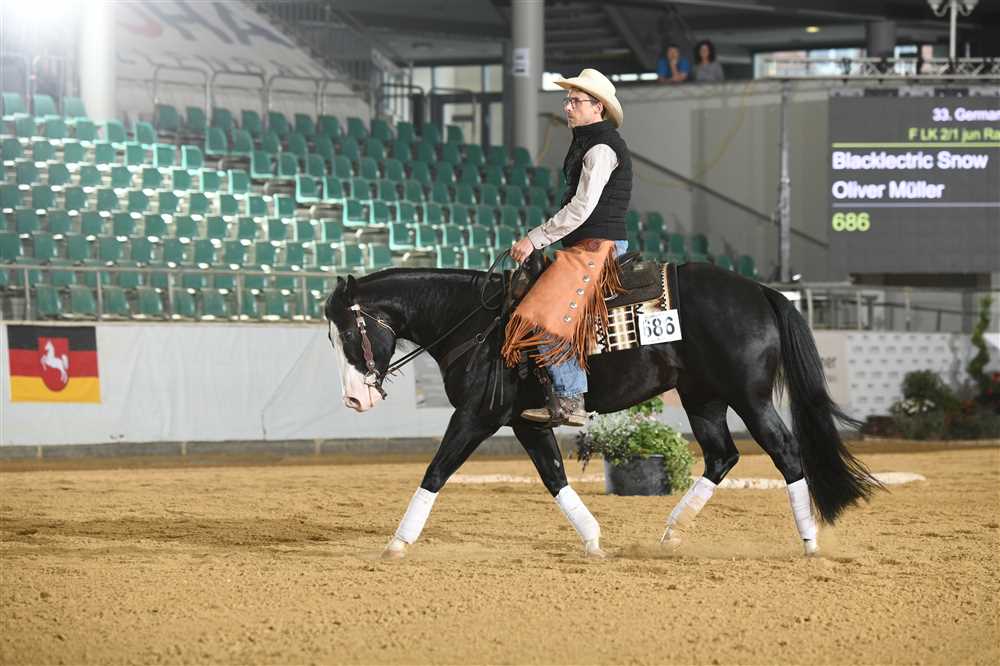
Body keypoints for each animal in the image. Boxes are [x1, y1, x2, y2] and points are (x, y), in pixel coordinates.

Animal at [323, 261, 880, 559]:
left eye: (348, 332)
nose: (354, 399)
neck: (476, 323)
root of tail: (762, 291)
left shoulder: (476, 416)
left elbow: (435, 472)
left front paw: (397, 544)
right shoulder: (524, 423)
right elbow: (554, 477)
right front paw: (593, 541)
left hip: (750, 397)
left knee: (786, 454)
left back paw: (809, 542)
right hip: (703, 398)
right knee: (722, 456)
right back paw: (671, 533)